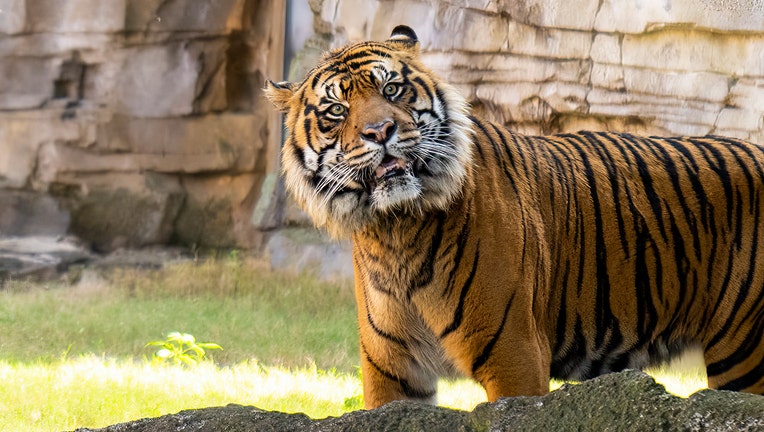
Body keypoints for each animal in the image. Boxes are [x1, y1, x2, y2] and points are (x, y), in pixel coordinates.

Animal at [266, 24, 764, 408]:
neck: (396, 229)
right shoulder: (390, 370)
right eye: (337, 110)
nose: (380, 131)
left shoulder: (514, 354)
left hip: (745, 353)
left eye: (391, 89)